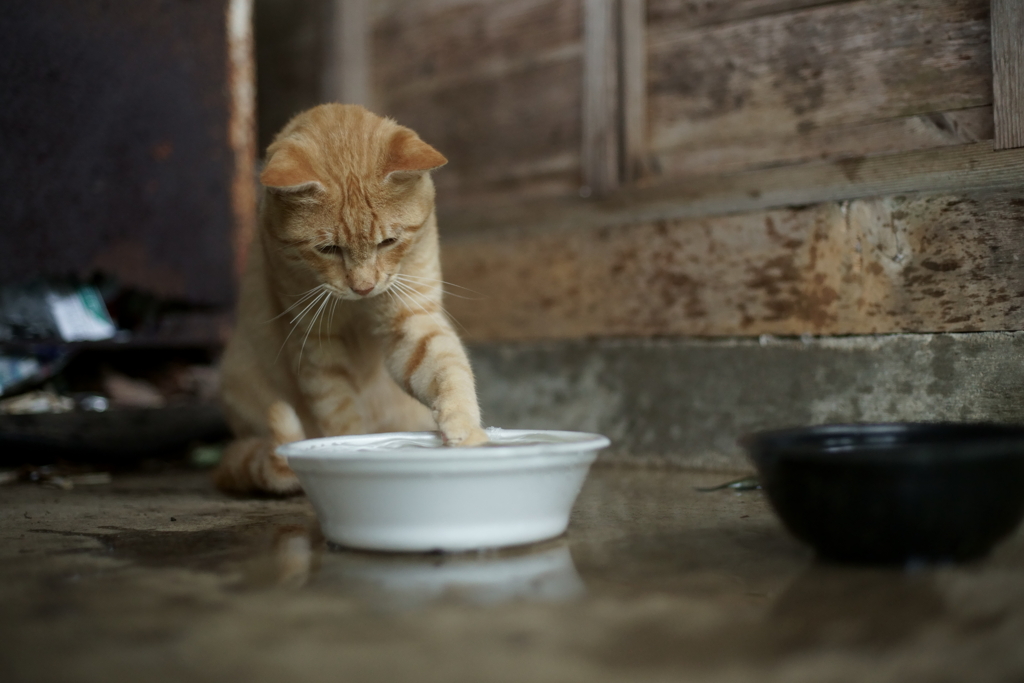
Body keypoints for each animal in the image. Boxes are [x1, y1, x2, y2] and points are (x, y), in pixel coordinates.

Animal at [214, 102, 485, 497]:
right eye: (328, 249)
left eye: (388, 242)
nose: (363, 287)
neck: (358, 308)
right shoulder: (315, 343)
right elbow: (340, 417)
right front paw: (348, 456)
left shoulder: (412, 320)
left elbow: (448, 368)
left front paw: (465, 429)